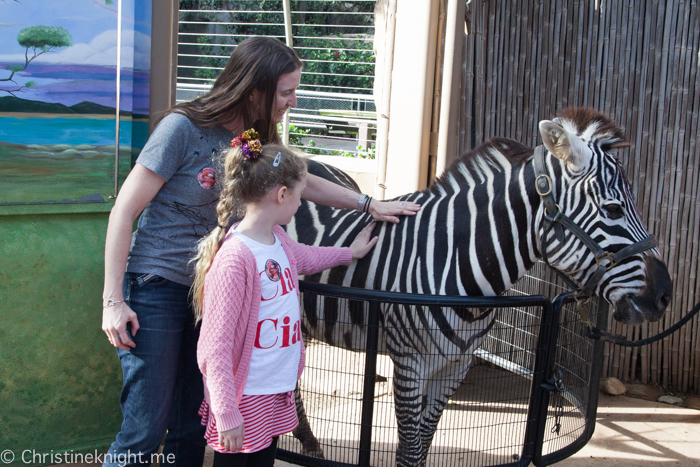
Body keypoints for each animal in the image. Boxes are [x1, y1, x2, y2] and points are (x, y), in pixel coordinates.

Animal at [284, 107, 672, 467]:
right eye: (613, 208)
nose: (664, 296)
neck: (454, 261)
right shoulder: (411, 365)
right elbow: (410, 452)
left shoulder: (456, 366)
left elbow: (424, 446)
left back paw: (308, 438)